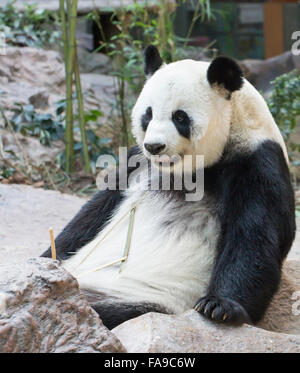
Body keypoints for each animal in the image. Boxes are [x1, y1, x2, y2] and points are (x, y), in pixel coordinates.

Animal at [41, 45, 296, 328]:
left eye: (180, 117)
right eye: (148, 114)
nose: (155, 146)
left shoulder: (256, 160)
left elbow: (254, 237)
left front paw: (220, 306)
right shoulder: (137, 163)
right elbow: (93, 213)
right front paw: (47, 258)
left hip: (141, 299)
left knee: (95, 312)